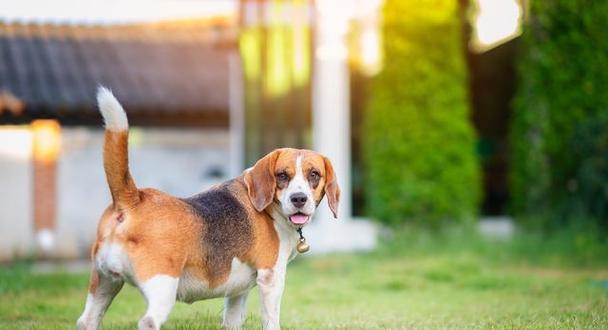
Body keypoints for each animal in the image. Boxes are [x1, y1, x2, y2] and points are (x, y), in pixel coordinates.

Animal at [76, 87, 340, 330]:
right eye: (282, 175)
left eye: (314, 174)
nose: (298, 199)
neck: (270, 210)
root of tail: (133, 198)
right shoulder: (271, 278)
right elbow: (271, 321)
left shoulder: (238, 289)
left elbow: (232, 320)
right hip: (161, 286)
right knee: (148, 322)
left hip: (104, 283)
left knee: (86, 320)